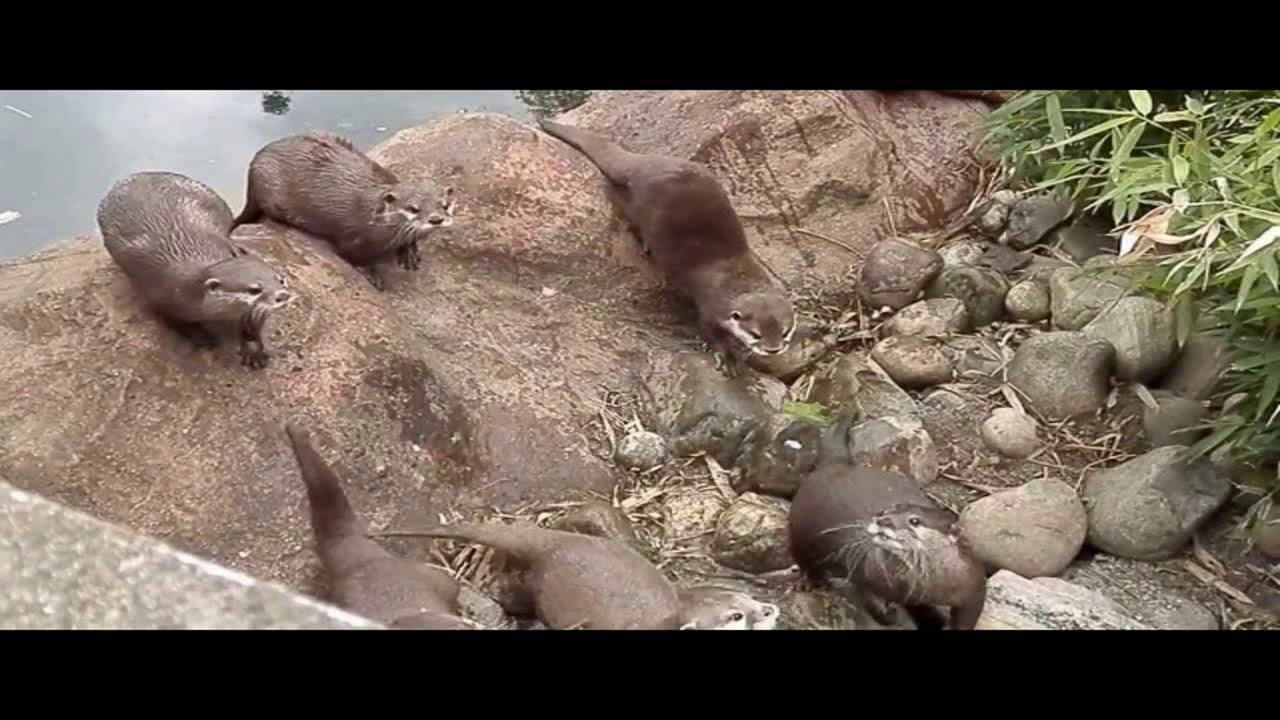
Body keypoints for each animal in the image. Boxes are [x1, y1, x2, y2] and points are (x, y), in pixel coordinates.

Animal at [97, 171, 292, 369]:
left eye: (281, 279)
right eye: (254, 289)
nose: (282, 295)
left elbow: (252, 324)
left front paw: (253, 349)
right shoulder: (162, 299)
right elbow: (179, 324)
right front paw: (203, 338)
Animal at [232, 131, 455, 290]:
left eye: (444, 205)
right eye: (413, 208)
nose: (436, 219)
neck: (376, 220)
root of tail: (253, 167)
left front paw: (409, 252)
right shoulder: (352, 237)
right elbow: (352, 256)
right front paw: (371, 273)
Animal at [538, 120, 796, 361]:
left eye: (785, 332)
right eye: (756, 334)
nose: (773, 349)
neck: (737, 278)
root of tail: (645, 164)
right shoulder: (709, 306)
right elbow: (708, 331)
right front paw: (727, 357)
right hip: (640, 204)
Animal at [788, 464, 987, 630]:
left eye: (914, 521)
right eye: (884, 511)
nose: (883, 520)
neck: (930, 586)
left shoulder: (973, 582)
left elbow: (969, 615)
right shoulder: (868, 572)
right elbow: (870, 598)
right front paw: (890, 613)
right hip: (799, 529)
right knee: (804, 558)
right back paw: (807, 581)